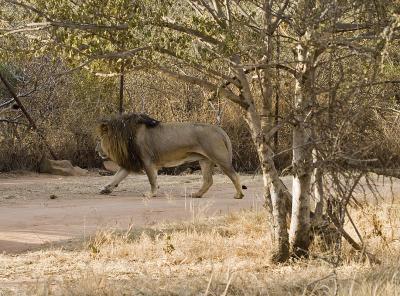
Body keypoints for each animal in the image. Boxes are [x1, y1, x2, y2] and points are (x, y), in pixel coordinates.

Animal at [96, 113, 247, 199]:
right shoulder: (130, 162)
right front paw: (105, 189)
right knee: (208, 180)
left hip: (219, 158)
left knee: (234, 175)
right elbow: (116, 177)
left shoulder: (147, 161)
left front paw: (151, 194)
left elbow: (152, 180)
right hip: (205, 160)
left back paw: (239, 195)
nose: (96, 150)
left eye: (99, 139)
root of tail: (219, 129)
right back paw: (196, 195)